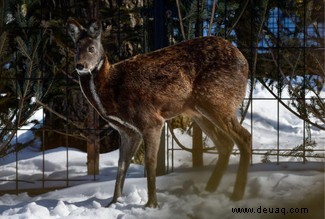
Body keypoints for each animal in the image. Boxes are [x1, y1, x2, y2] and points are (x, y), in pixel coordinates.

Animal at [67, 18, 252, 207]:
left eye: (91, 48)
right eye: (75, 48)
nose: (80, 65)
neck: (111, 90)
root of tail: (245, 63)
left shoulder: (151, 120)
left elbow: (150, 162)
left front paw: (151, 204)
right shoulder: (128, 131)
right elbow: (122, 164)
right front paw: (113, 203)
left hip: (217, 99)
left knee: (244, 137)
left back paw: (236, 195)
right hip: (198, 111)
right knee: (225, 143)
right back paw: (209, 191)